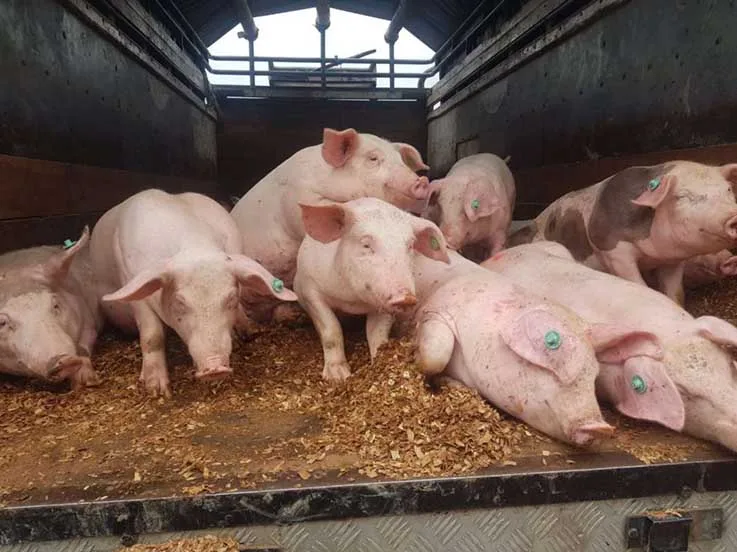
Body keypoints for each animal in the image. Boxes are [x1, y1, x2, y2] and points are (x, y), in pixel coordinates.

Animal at [0, 227, 102, 389]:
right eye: (2, 322)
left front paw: (87, 380)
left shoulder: (89, 321)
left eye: (55, 304)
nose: (65, 359)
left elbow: (84, 346)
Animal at [89, 189, 297, 397]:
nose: (216, 368)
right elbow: (152, 336)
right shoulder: (131, 282)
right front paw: (157, 391)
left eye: (231, 298)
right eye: (180, 301)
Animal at [293, 198, 450, 381]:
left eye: (410, 245)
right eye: (366, 245)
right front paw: (337, 377)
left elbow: (377, 333)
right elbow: (331, 329)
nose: (406, 298)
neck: (352, 301)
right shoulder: (310, 289)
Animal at [506, 161, 737, 305]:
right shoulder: (612, 251)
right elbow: (639, 285)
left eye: (728, 190)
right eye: (683, 196)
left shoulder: (673, 261)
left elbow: (675, 293)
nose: (733, 216)